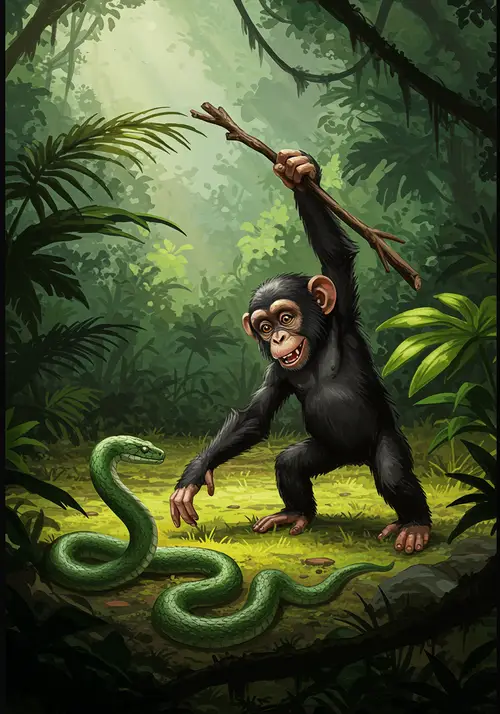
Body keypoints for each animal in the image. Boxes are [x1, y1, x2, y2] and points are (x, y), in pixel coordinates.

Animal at [170, 150, 431, 554]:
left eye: (286, 317)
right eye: (264, 327)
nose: (278, 338)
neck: (318, 349)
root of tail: (355, 460)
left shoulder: (342, 316)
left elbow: (335, 255)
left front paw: (299, 172)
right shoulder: (278, 373)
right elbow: (255, 418)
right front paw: (194, 475)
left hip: (385, 440)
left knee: (393, 476)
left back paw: (416, 524)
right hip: (326, 450)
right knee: (289, 464)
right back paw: (295, 513)